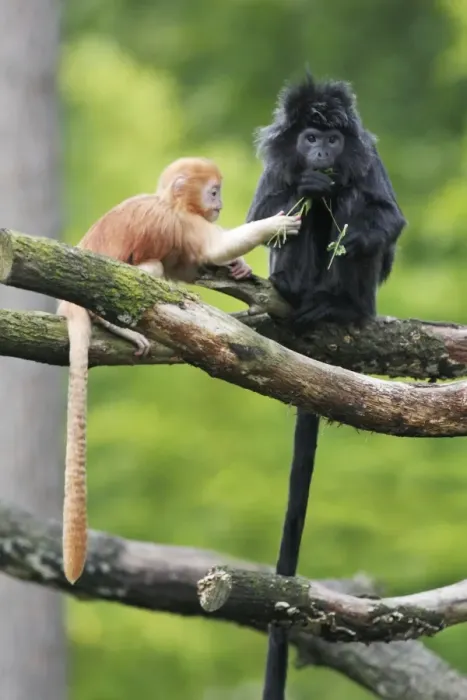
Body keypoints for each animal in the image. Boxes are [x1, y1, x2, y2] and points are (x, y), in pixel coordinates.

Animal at [57, 156, 302, 586]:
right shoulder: (183, 223)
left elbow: (192, 266)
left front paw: (238, 267)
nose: (219, 204)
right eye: (214, 191)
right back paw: (116, 324)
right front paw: (275, 225)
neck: (169, 203)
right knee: (150, 268)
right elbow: (212, 247)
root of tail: (70, 308)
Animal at [246, 75, 406, 700]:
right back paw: (293, 288)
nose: (319, 154)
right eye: (309, 138)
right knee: (299, 222)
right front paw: (307, 185)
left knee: (349, 210)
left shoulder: (368, 162)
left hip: (363, 298)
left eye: (333, 139)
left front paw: (342, 203)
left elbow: (384, 216)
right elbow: (264, 214)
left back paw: (337, 303)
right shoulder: (277, 174)